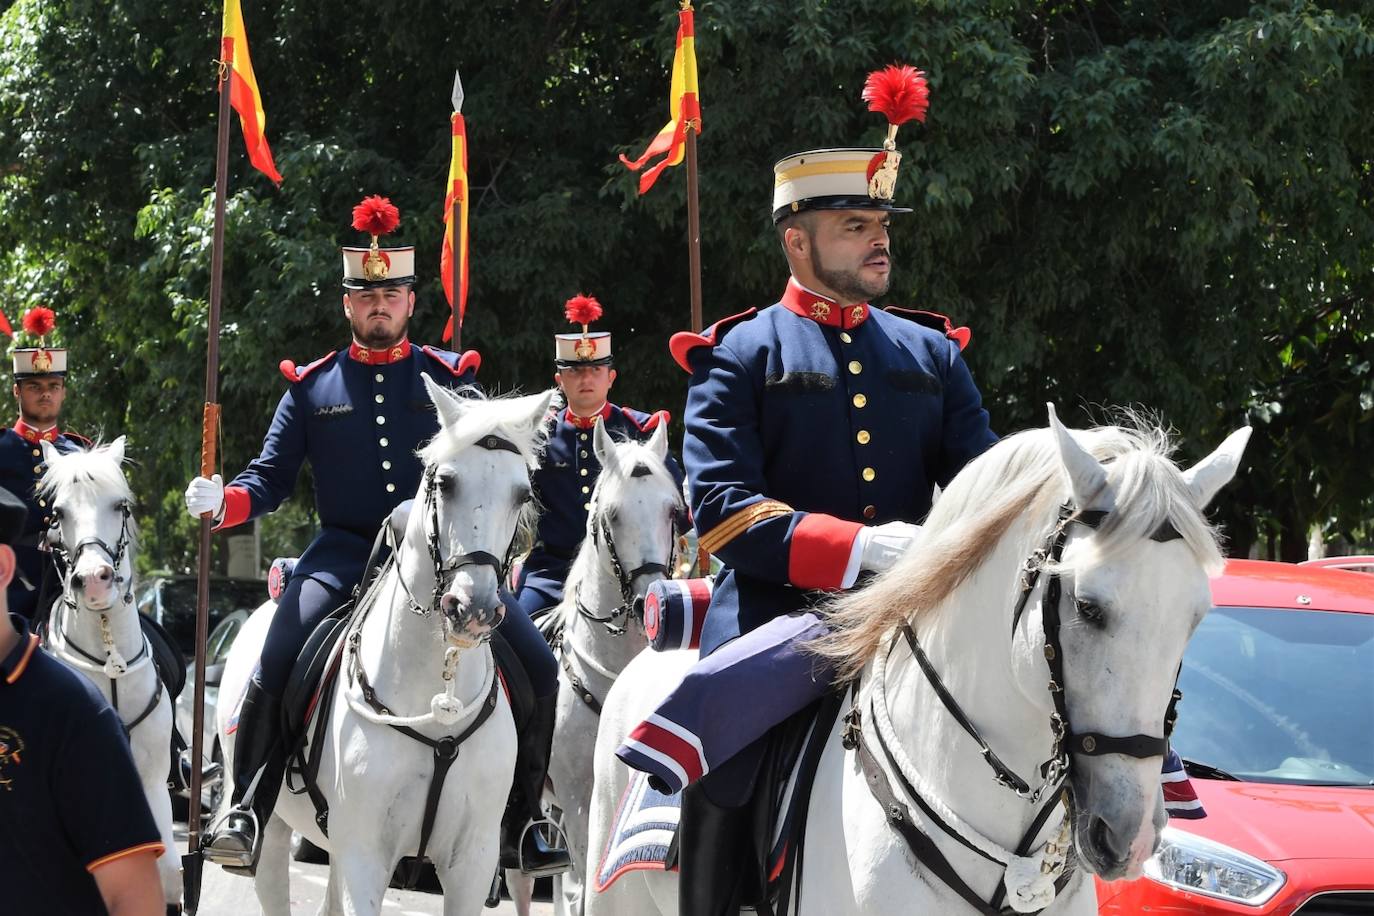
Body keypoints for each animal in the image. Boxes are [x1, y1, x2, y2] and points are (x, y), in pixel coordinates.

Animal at [41, 439, 182, 911]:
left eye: (120, 505)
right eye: (57, 512)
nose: (95, 581)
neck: (110, 666)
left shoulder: (152, 783)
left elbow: (167, 876)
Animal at [214, 384, 552, 916]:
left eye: (522, 494)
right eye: (446, 483)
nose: (473, 609)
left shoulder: (472, 862)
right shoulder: (366, 855)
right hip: (274, 835)